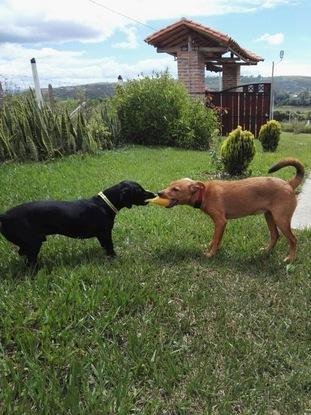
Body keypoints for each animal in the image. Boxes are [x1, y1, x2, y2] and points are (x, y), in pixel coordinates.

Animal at [0, 181, 155, 266]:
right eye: (139, 190)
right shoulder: (105, 233)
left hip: (30, 242)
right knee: (29, 261)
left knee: (23, 253)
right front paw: (115, 258)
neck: (104, 203)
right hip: (33, 242)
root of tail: (4, 216)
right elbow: (110, 247)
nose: (153, 194)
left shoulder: (101, 235)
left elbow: (105, 247)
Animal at [160, 159, 306, 264]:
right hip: (269, 216)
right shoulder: (221, 224)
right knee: (275, 235)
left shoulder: (220, 221)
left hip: (281, 219)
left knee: (293, 240)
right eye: (169, 185)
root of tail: (289, 184)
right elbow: (216, 239)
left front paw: (210, 254)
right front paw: (213, 250)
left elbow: (215, 239)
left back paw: (290, 259)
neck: (204, 193)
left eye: (175, 189)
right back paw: (265, 251)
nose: (159, 193)